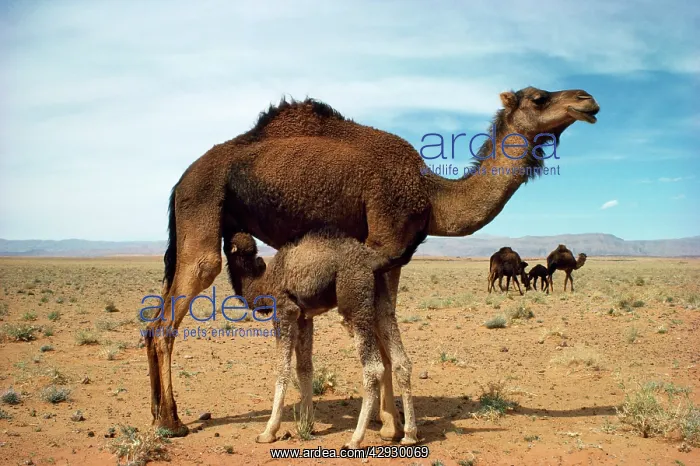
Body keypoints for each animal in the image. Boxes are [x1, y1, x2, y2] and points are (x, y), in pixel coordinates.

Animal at [226, 231, 417, 449]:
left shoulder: (284, 311)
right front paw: (306, 424)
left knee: (374, 368)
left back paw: (354, 439)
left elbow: (282, 368)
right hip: (380, 301)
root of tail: (374, 260)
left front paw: (268, 431)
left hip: (355, 301)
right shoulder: (303, 317)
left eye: (227, 244)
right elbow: (304, 368)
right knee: (401, 361)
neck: (262, 283)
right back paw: (409, 435)